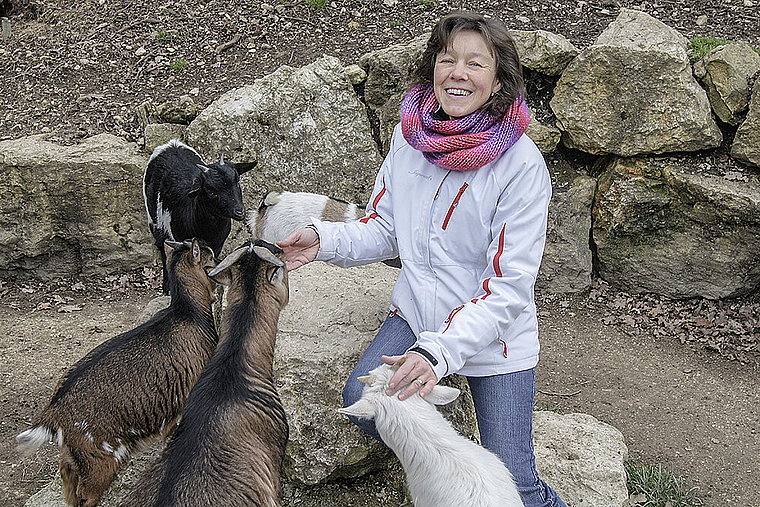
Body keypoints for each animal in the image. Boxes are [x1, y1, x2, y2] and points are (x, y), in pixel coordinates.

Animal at [16, 239, 220, 507]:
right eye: (211, 259)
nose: (222, 261)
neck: (188, 313)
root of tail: (53, 415)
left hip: (76, 458)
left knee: (67, 479)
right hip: (101, 459)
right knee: (86, 493)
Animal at [143, 139, 258, 294]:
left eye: (238, 181)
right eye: (210, 191)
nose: (239, 211)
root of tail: (170, 144)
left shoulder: (217, 245)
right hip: (154, 220)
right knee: (161, 246)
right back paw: (166, 285)